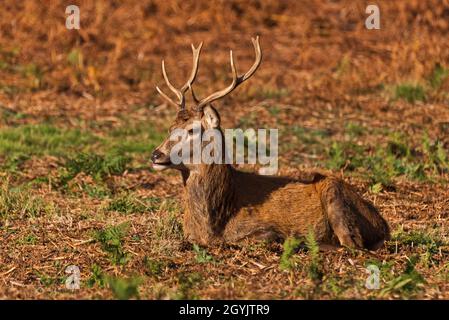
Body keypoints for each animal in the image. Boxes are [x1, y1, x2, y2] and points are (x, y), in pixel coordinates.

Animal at [150, 35, 388, 250]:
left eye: (192, 130)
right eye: (170, 127)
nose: (155, 155)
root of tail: (384, 225)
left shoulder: (266, 229)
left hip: (336, 196)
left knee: (353, 244)